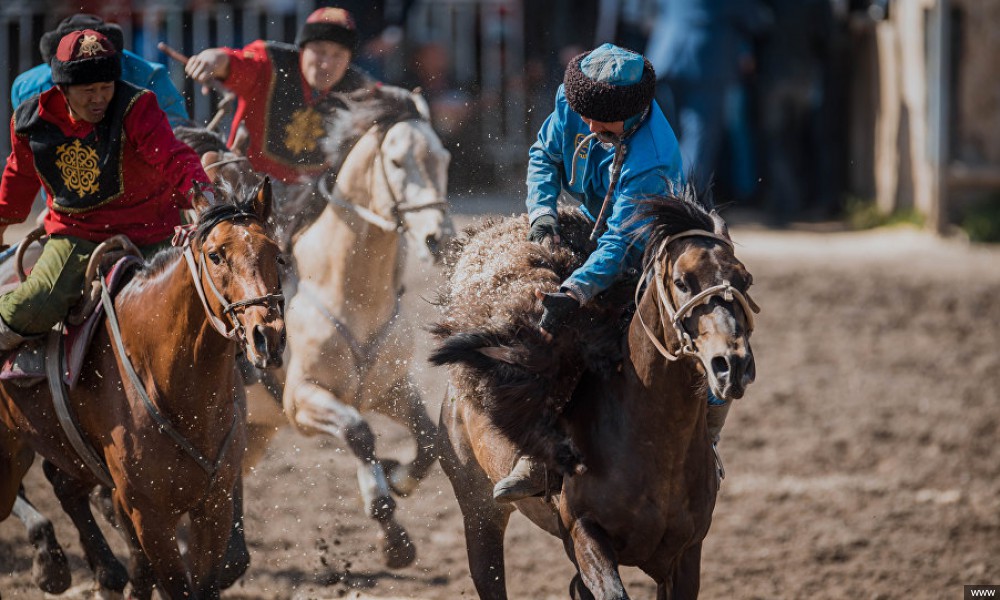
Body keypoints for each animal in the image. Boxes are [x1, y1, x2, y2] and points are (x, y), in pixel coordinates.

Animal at [0, 184, 286, 600]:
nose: (268, 336)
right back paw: (52, 561)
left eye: (277, 254)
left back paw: (99, 569)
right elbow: (173, 582)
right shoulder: (147, 513)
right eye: (216, 255)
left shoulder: (215, 504)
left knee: (64, 484)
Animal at [242, 86, 450, 568]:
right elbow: (358, 433)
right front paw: (392, 536)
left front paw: (395, 477)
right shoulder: (302, 400)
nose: (438, 237)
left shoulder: (391, 388)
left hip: (252, 433)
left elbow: (430, 440)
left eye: (444, 158)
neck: (346, 291)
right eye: (396, 162)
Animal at [432, 193, 756, 600]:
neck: (656, 444)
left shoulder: (686, 556)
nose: (732, 364)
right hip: (477, 511)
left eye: (745, 279)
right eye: (682, 281)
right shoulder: (582, 534)